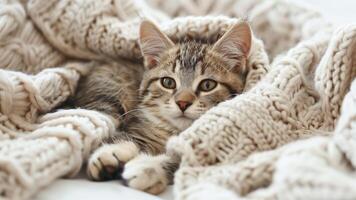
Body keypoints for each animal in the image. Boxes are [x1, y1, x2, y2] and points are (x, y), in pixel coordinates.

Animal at [82, 19, 252, 194]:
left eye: (207, 85)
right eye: (168, 82)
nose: (183, 103)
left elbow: (180, 160)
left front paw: (148, 167)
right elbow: (134, 136)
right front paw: (112, 152)